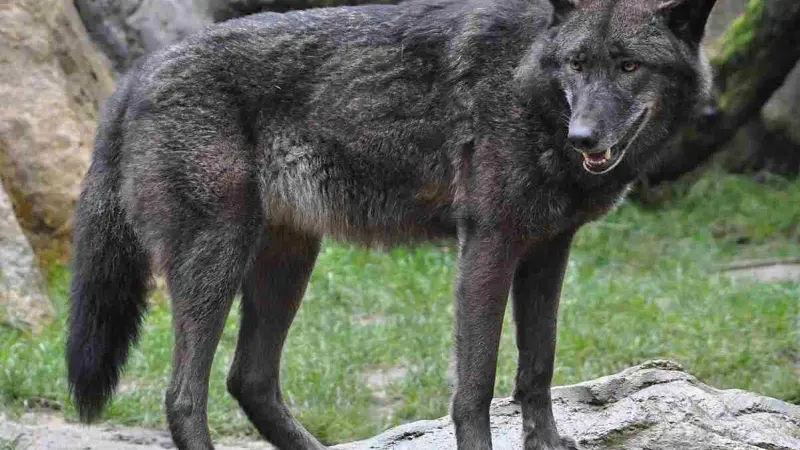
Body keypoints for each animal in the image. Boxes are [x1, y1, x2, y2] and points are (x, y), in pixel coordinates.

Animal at [66, 0, 717, 449]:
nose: (583, 137)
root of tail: (138, 71)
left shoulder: (548, 251)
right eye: (577, 65)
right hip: (219, 257)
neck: (526, 80)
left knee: (248, 380)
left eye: (629, 65)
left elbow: (537, 369)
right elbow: (475, 386)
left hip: (287, 262)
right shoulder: (488, 244)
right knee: (184, 397)